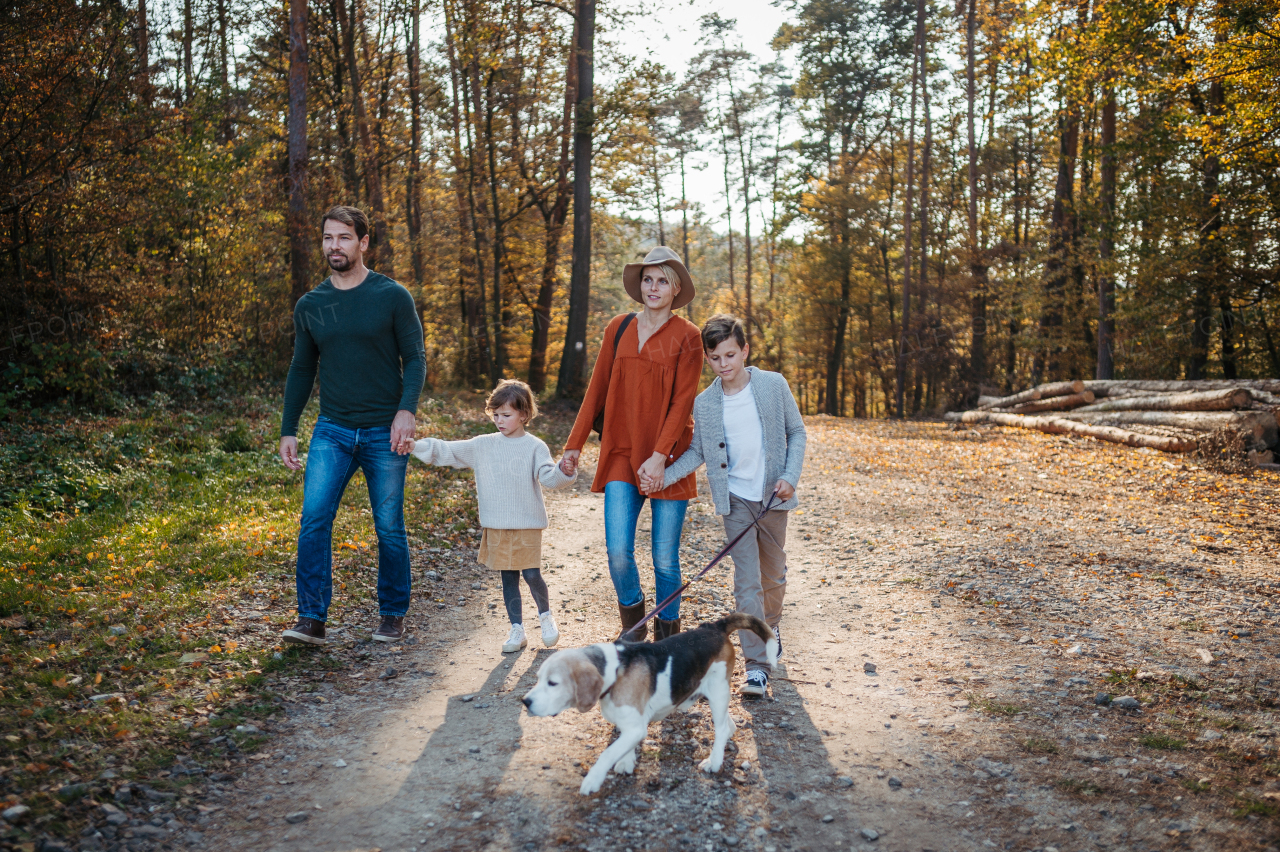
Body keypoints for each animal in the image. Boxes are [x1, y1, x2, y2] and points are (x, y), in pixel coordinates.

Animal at [522, 614, 778, 793]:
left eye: (553, 683)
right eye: (538, 679)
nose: (525, 702)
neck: (616, 670)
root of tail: (714, 626)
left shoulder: (635, 727)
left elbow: (608, 753)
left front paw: (593, 779)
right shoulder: (629, 724)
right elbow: (623, 745)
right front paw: (626, 762)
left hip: (716, 692)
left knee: (722, 728)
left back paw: (714, 763)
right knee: (728, 725)